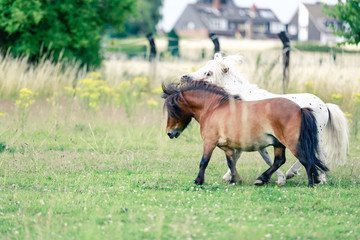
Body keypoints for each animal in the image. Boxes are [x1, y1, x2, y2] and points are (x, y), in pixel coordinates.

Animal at [181, 53, 348, 186]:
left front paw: (276, 179)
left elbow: (265, 158)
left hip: (314, 136)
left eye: (208, 73)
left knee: (319, 154)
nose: (184, 77)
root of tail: (324, 105)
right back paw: (296, 174)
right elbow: (239, 156)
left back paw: (318, 178)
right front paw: (231, 176)